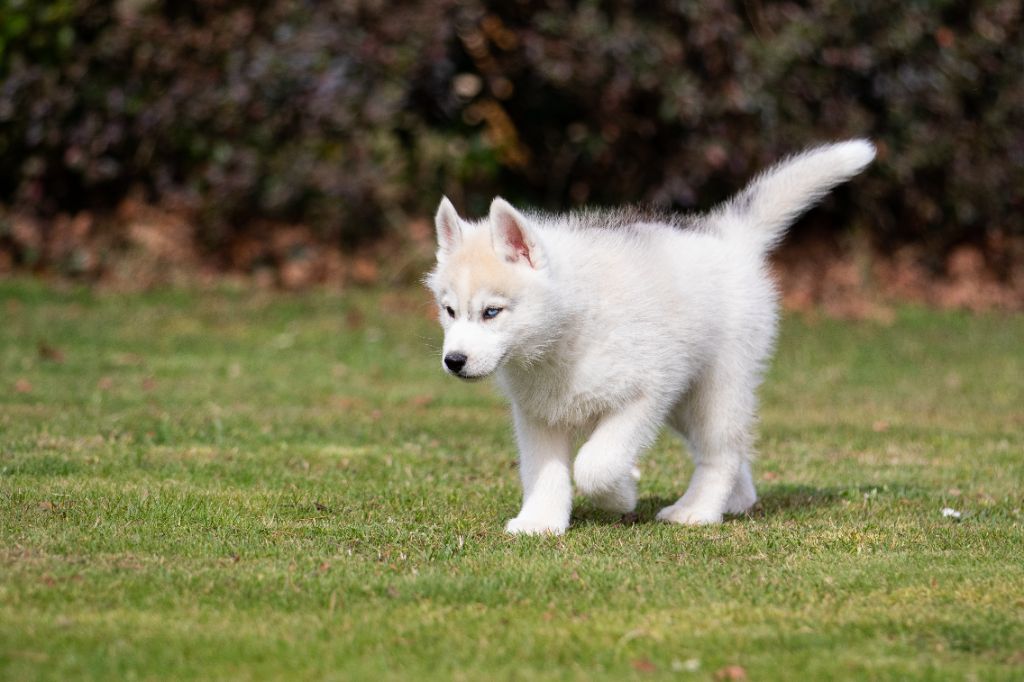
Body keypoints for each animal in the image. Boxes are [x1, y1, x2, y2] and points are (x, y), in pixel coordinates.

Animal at [425, 140, 876, 535]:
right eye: (450, 311)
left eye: (491, 312)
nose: (454, 361)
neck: (566, 332)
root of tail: (728, 239)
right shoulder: (538, 413)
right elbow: (544, 471)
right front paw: (540, 522)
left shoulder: (644, 394)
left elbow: (595, 464)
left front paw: (622, 494)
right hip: (685, 402)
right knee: (734, 448)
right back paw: (737, 500)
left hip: (716, 385)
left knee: (721, 453)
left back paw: (698, 510)